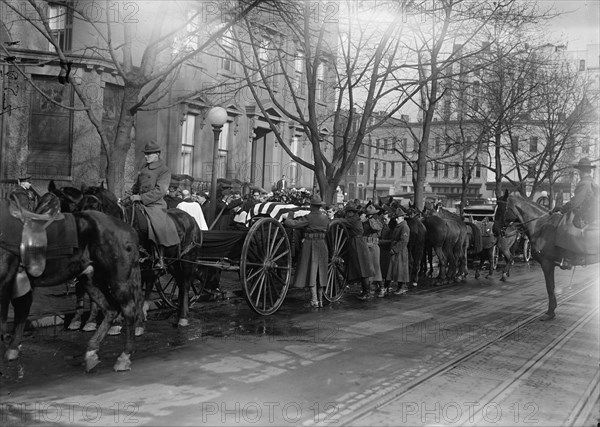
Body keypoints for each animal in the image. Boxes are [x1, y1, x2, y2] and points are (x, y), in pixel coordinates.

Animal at [0, 192, 142, 372]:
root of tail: (128, 230)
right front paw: (13, 348)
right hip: (91, 280)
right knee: (110, 309)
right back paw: (91, 351)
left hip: (118, 280)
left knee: (128, 310)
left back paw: (124, 356)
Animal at [494, 191, 596, 320]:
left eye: (502, 209)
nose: (494, 230)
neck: (540, 226)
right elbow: (550, 286)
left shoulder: (547, 264)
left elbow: (550, 287)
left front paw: (550, 311)